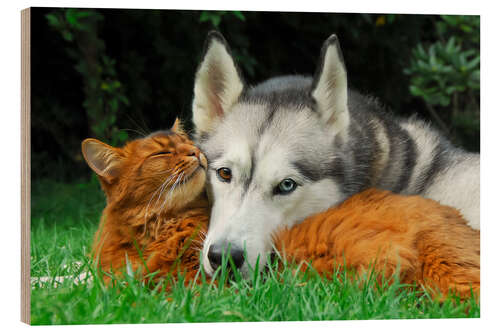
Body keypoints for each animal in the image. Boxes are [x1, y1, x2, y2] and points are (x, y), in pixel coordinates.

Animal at [80, 120, 478, 300]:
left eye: (187, 143)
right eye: (163, 152)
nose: (196, 153)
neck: (149, 230)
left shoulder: (198, 283)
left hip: (450, 273)